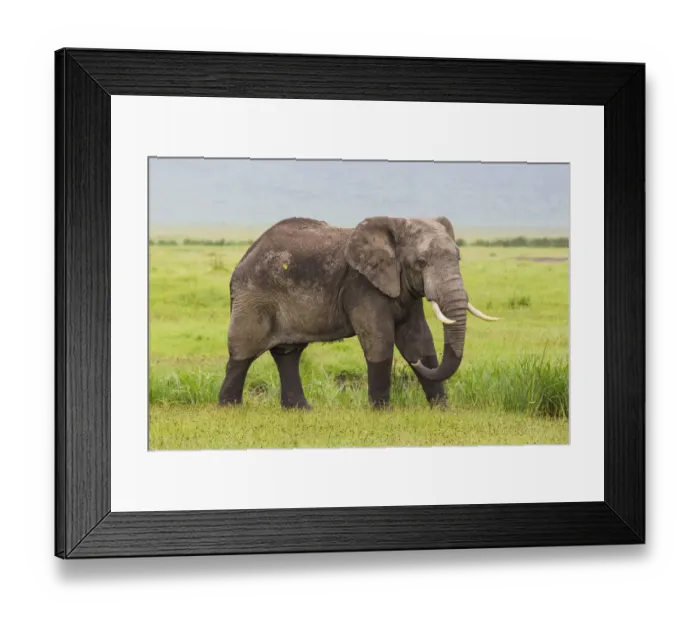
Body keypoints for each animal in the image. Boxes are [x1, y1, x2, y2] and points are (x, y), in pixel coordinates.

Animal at [218, 216, 499, 409]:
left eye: (458, 258)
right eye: (421, 263)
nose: (416, 365)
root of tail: (244, 258)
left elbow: (418, 338)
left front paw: (442, 409)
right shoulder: (361, 285)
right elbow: (380, 339)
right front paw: (382, 412)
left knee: (288, 354)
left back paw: (301, 410)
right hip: (254, 296)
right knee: (243, 352)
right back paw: (230, 408)